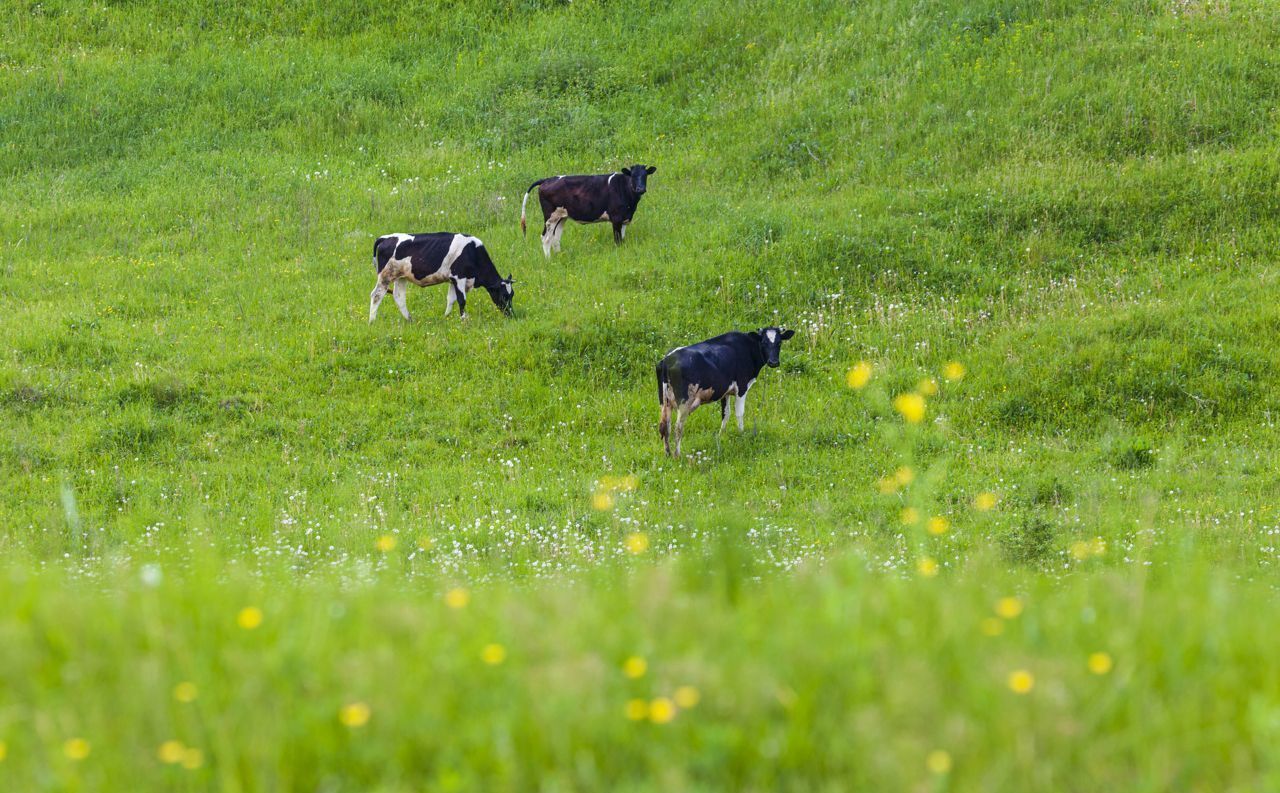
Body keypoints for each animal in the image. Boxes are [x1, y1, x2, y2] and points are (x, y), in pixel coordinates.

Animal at [368, 232, 512, 322]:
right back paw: (372, 321)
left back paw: (409, 319)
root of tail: (385, 237)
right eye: (505, 295)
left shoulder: (453, 280)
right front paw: (464, 319)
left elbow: (451, 299)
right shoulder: (459, 277)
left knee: (399, 297)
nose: (511, 314)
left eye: (512, 295)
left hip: (401, 277)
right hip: (385, 275)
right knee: (376, 295)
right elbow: (462, 300)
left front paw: (446, 317)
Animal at [522, 163, 660, 257]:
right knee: (545, 238)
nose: (640, 189)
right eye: (633, 175)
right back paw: (548, 260)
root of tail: (547, 179)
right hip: (550, 216)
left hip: (561, 217)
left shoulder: (625, 219)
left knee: (555, 238)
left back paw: (559, 256)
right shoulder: (616, 218)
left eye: (645, 175)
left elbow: (622, 238)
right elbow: (617, 240)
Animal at [655, 323, 793, 457]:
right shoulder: (741, 388)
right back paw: (677, 455)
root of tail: (667, 360)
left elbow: (725, 414)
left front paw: (721, 436)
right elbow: (739, 413)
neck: (748, 347)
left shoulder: (726, 392)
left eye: (779, 342)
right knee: (678, 427)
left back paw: (667, 454)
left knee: (664, 426)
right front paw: (741, 434)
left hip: (664, 401)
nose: (773, 362)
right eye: (764, 342)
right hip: (684, 402)